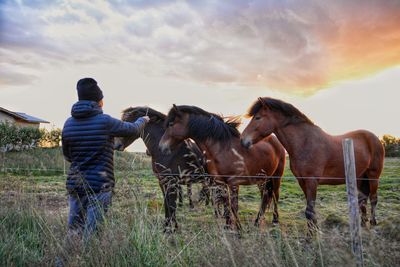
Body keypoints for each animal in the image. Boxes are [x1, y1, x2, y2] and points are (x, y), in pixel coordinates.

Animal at [158, 105, 286, 230]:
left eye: (171, 124)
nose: (161, 147)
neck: (223, 149)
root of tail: (276, 141)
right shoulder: (220, 182)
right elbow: (226, 204)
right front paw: (228, 226)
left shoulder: (233, 183)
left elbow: (234, 206)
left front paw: (238, 229)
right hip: (263, 179)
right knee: (265, 197)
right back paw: (257, 221)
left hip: (276, 177)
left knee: (275, 196)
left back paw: (275, 221)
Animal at [241, 97, 384, 231]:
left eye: (258, 117)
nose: (243, 140)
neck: (305, 142)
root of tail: (375, 138)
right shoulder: (302, 181)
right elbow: (310, 210)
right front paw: (314, 228)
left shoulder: (312, 181)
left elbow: (309, 211)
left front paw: (311, 236)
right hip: (360, 177)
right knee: (362, 200)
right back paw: (363, 224)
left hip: (373, 176)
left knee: (373, 198)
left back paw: (373, 223)